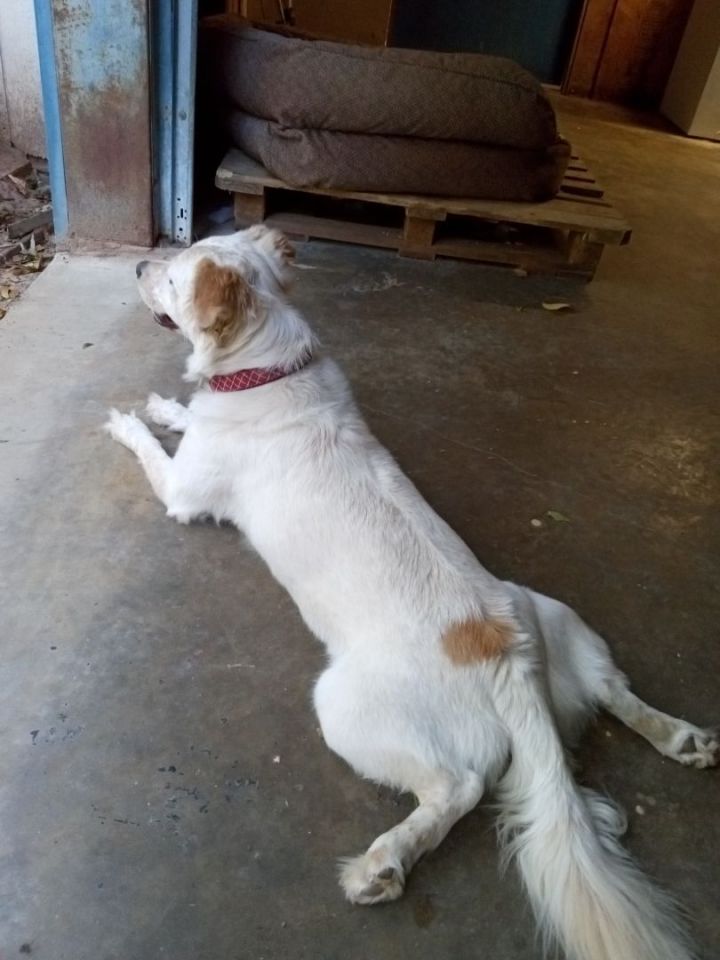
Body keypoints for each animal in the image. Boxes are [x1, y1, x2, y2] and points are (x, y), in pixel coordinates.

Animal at [105, 229, 716, 960]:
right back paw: (678, 740)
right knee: (610, 696)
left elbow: (151, 450)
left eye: (173, 278)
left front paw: (126, 421)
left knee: (460, 788)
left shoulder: (182, 493)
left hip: (344, 708)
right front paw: (166, 405)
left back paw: (386, 862)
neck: (270, 366)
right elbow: (180, 412)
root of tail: (506, 659)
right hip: (557, 616)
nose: (141, 264)